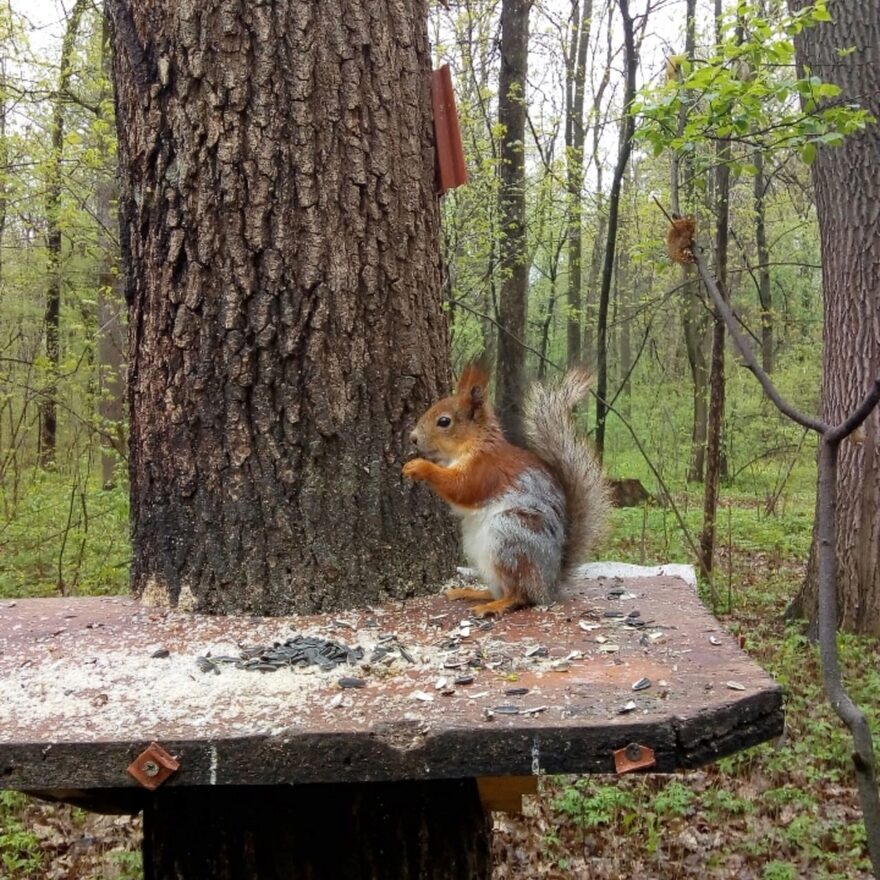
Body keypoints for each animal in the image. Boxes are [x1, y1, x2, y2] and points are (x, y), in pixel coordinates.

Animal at [402, 360, 608, 616]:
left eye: (444, 421)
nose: (412, 438)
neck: (475, 444)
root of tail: (549, 586)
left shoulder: (485, 471)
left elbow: (461, 487)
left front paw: (420, 467)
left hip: (510, 537)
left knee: (519, 595)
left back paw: (494, 605)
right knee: (500, 588)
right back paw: (472, 593)